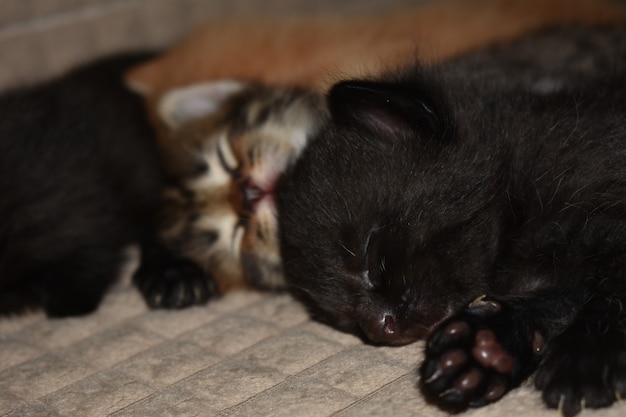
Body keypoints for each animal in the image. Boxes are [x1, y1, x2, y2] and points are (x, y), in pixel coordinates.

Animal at [276, 24, 624, 414]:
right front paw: (486, 348)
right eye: (344, 321)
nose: (380, 329)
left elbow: (612, 290)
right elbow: (560, 299)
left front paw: (585, 357)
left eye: (373, 258)